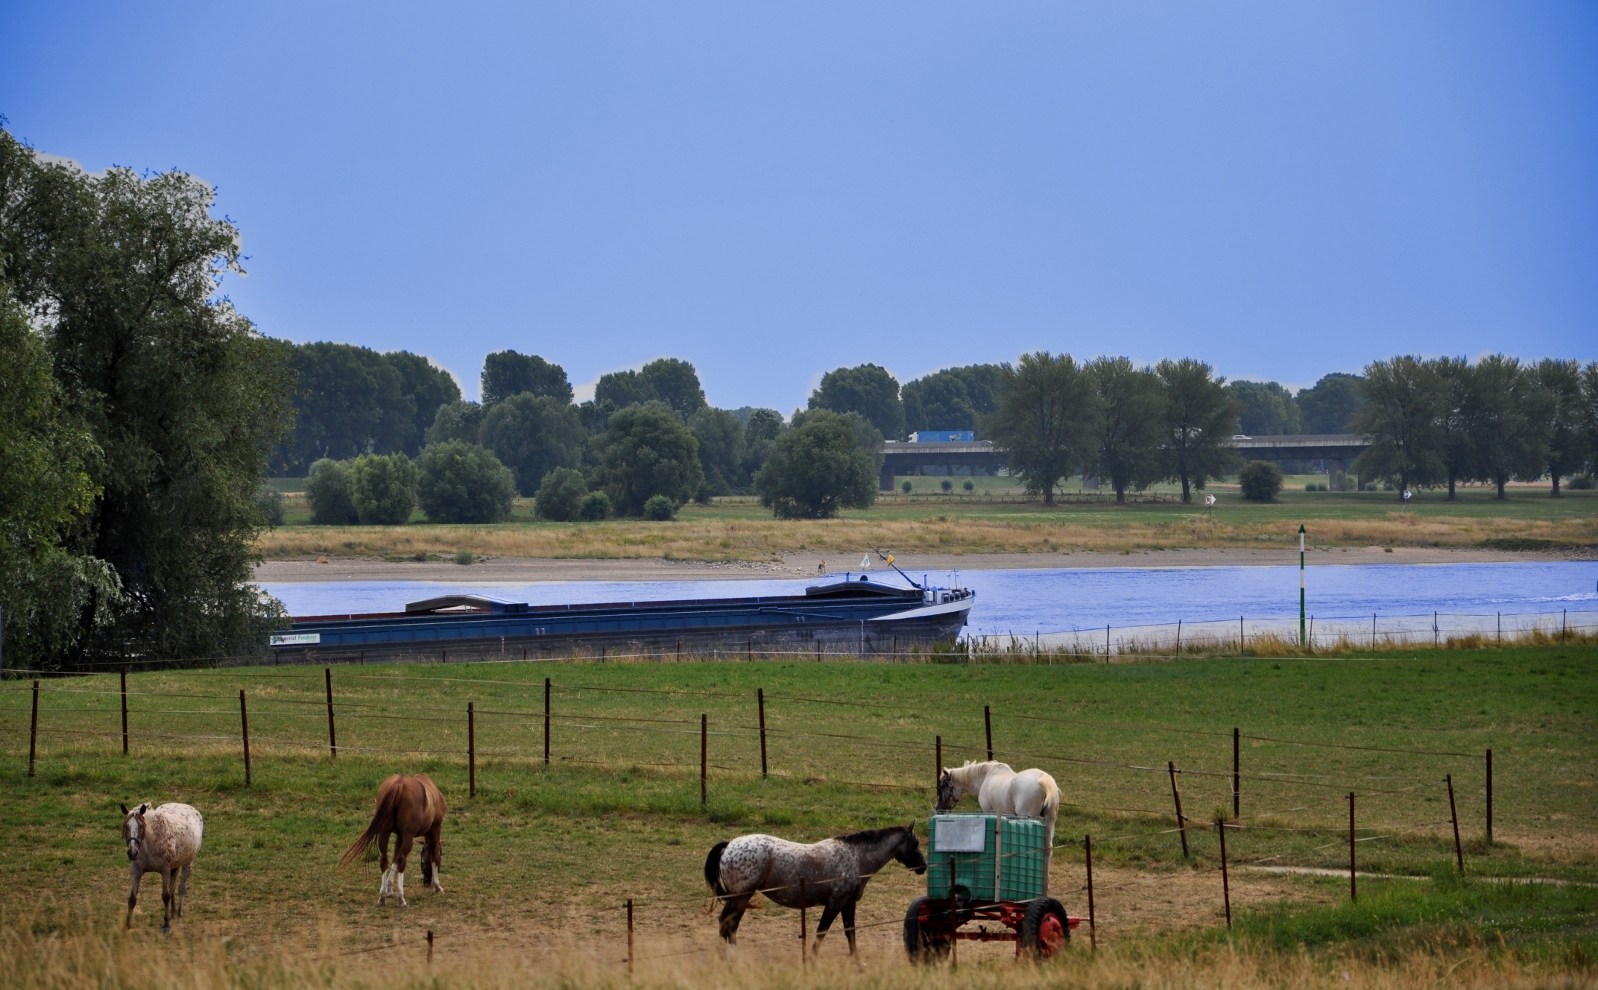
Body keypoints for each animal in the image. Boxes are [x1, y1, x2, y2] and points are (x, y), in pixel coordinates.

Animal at [119, 801, 202, 932]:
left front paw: (166, 925)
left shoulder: (165, 871)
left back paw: (178, 916)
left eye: (141, 826)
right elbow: (132, 898)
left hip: (187, 863)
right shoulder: (136, 871)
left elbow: (165, 896)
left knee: (181, 889)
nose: (132, 852)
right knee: (173, 888)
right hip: (175, 866)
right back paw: (173, 914)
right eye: (127, 826)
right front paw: (127, 925)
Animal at [337, 772, 447, 906]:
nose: (426, 882)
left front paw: (389, 889)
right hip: (408, 836)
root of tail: (398, 784)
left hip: (384, 832)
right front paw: (437, 886)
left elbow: (394, 858)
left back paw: (382, 897)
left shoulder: (399, 835)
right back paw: (401, 898)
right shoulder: (435, 830)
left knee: (384, 860)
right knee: (402, 860)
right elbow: (434, 857)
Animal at [933, 763, 1061, 894]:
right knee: (1047, 849)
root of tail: (1043, 779)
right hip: (1048, 822)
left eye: (942, 786)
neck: (986, 775)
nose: (938, 808)